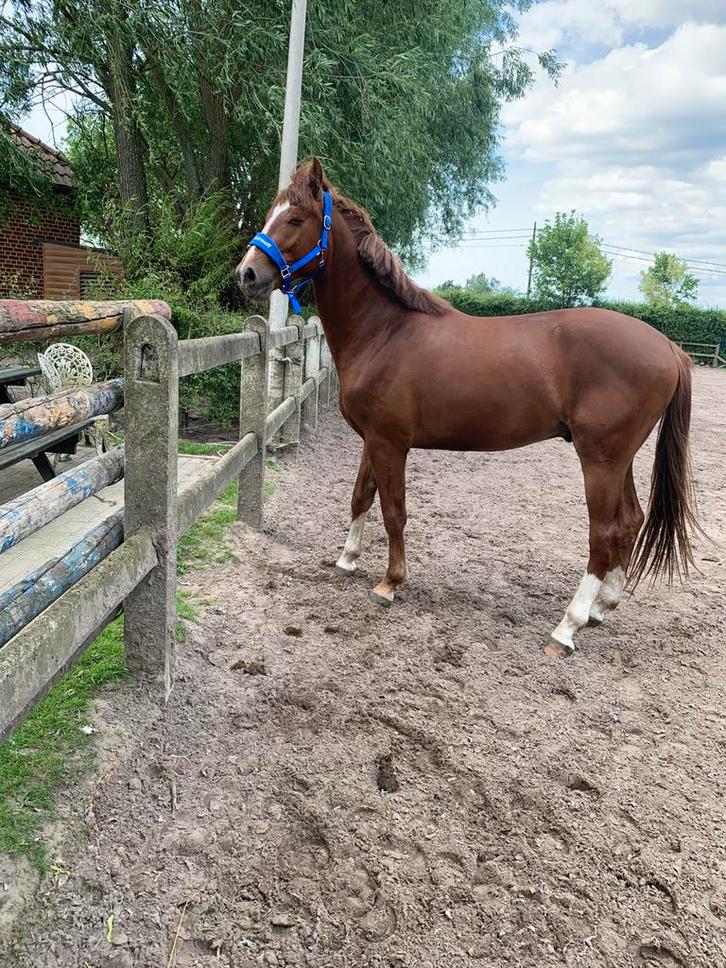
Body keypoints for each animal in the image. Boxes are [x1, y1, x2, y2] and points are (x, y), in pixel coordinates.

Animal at [236, 158, 701, 657]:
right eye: (270, 213)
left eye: (295, 218)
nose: (246, 274)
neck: (385, 332)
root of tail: (668, 346)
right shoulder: (371, 439)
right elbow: (361, 496)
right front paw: (346, 560)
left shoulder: (390, 444)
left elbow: (394, 510)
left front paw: (389, 583)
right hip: (620, 458)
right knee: (630, 521)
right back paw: (601, 608)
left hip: (600, 459)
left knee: (605, 532)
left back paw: (567, 627)